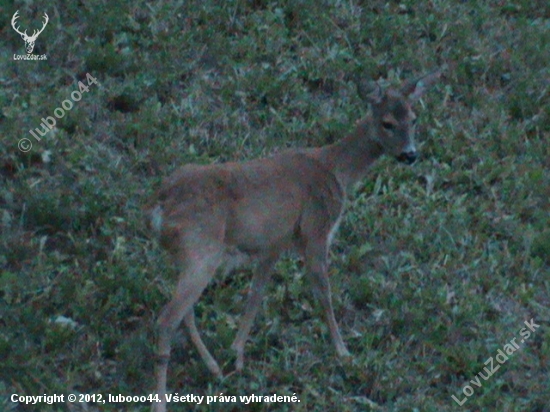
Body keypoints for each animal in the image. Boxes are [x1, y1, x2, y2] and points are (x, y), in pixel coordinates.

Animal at [148, 69, 444, 410]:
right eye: (387, 123)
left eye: (414, 118)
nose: (410, 154)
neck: (336, 169)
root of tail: (159, 206)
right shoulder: (316, 230)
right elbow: (324, 293)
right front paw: (343, 352)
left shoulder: (274, 241)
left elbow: (256, 296)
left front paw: (237, 355)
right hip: (201, 250)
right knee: (167, 319)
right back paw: (161, 401)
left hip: (190, 254)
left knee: (185, 312)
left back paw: (213, 368)